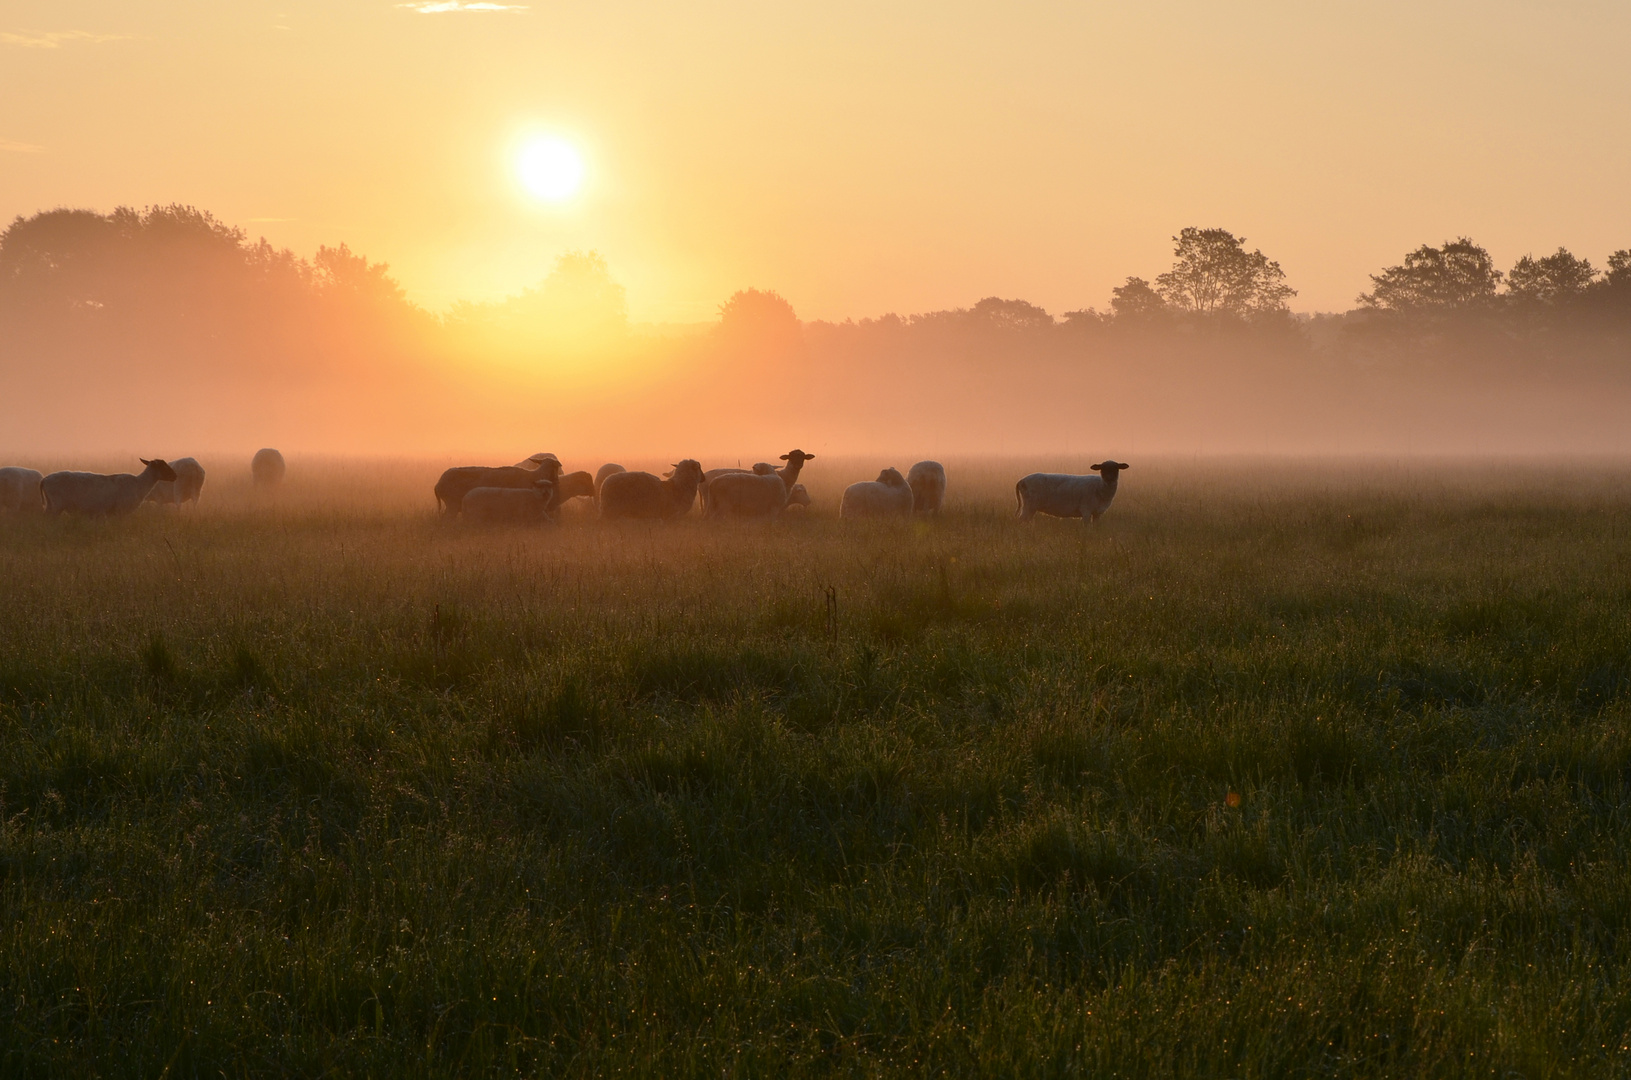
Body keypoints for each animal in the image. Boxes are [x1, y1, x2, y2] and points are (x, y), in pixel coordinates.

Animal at [42, 460, 176, 518]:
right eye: (163, 466)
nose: (175, 475)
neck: (140, 483)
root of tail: (45, 480)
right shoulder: (121, 510)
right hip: (57, 505)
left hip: (50, 504)